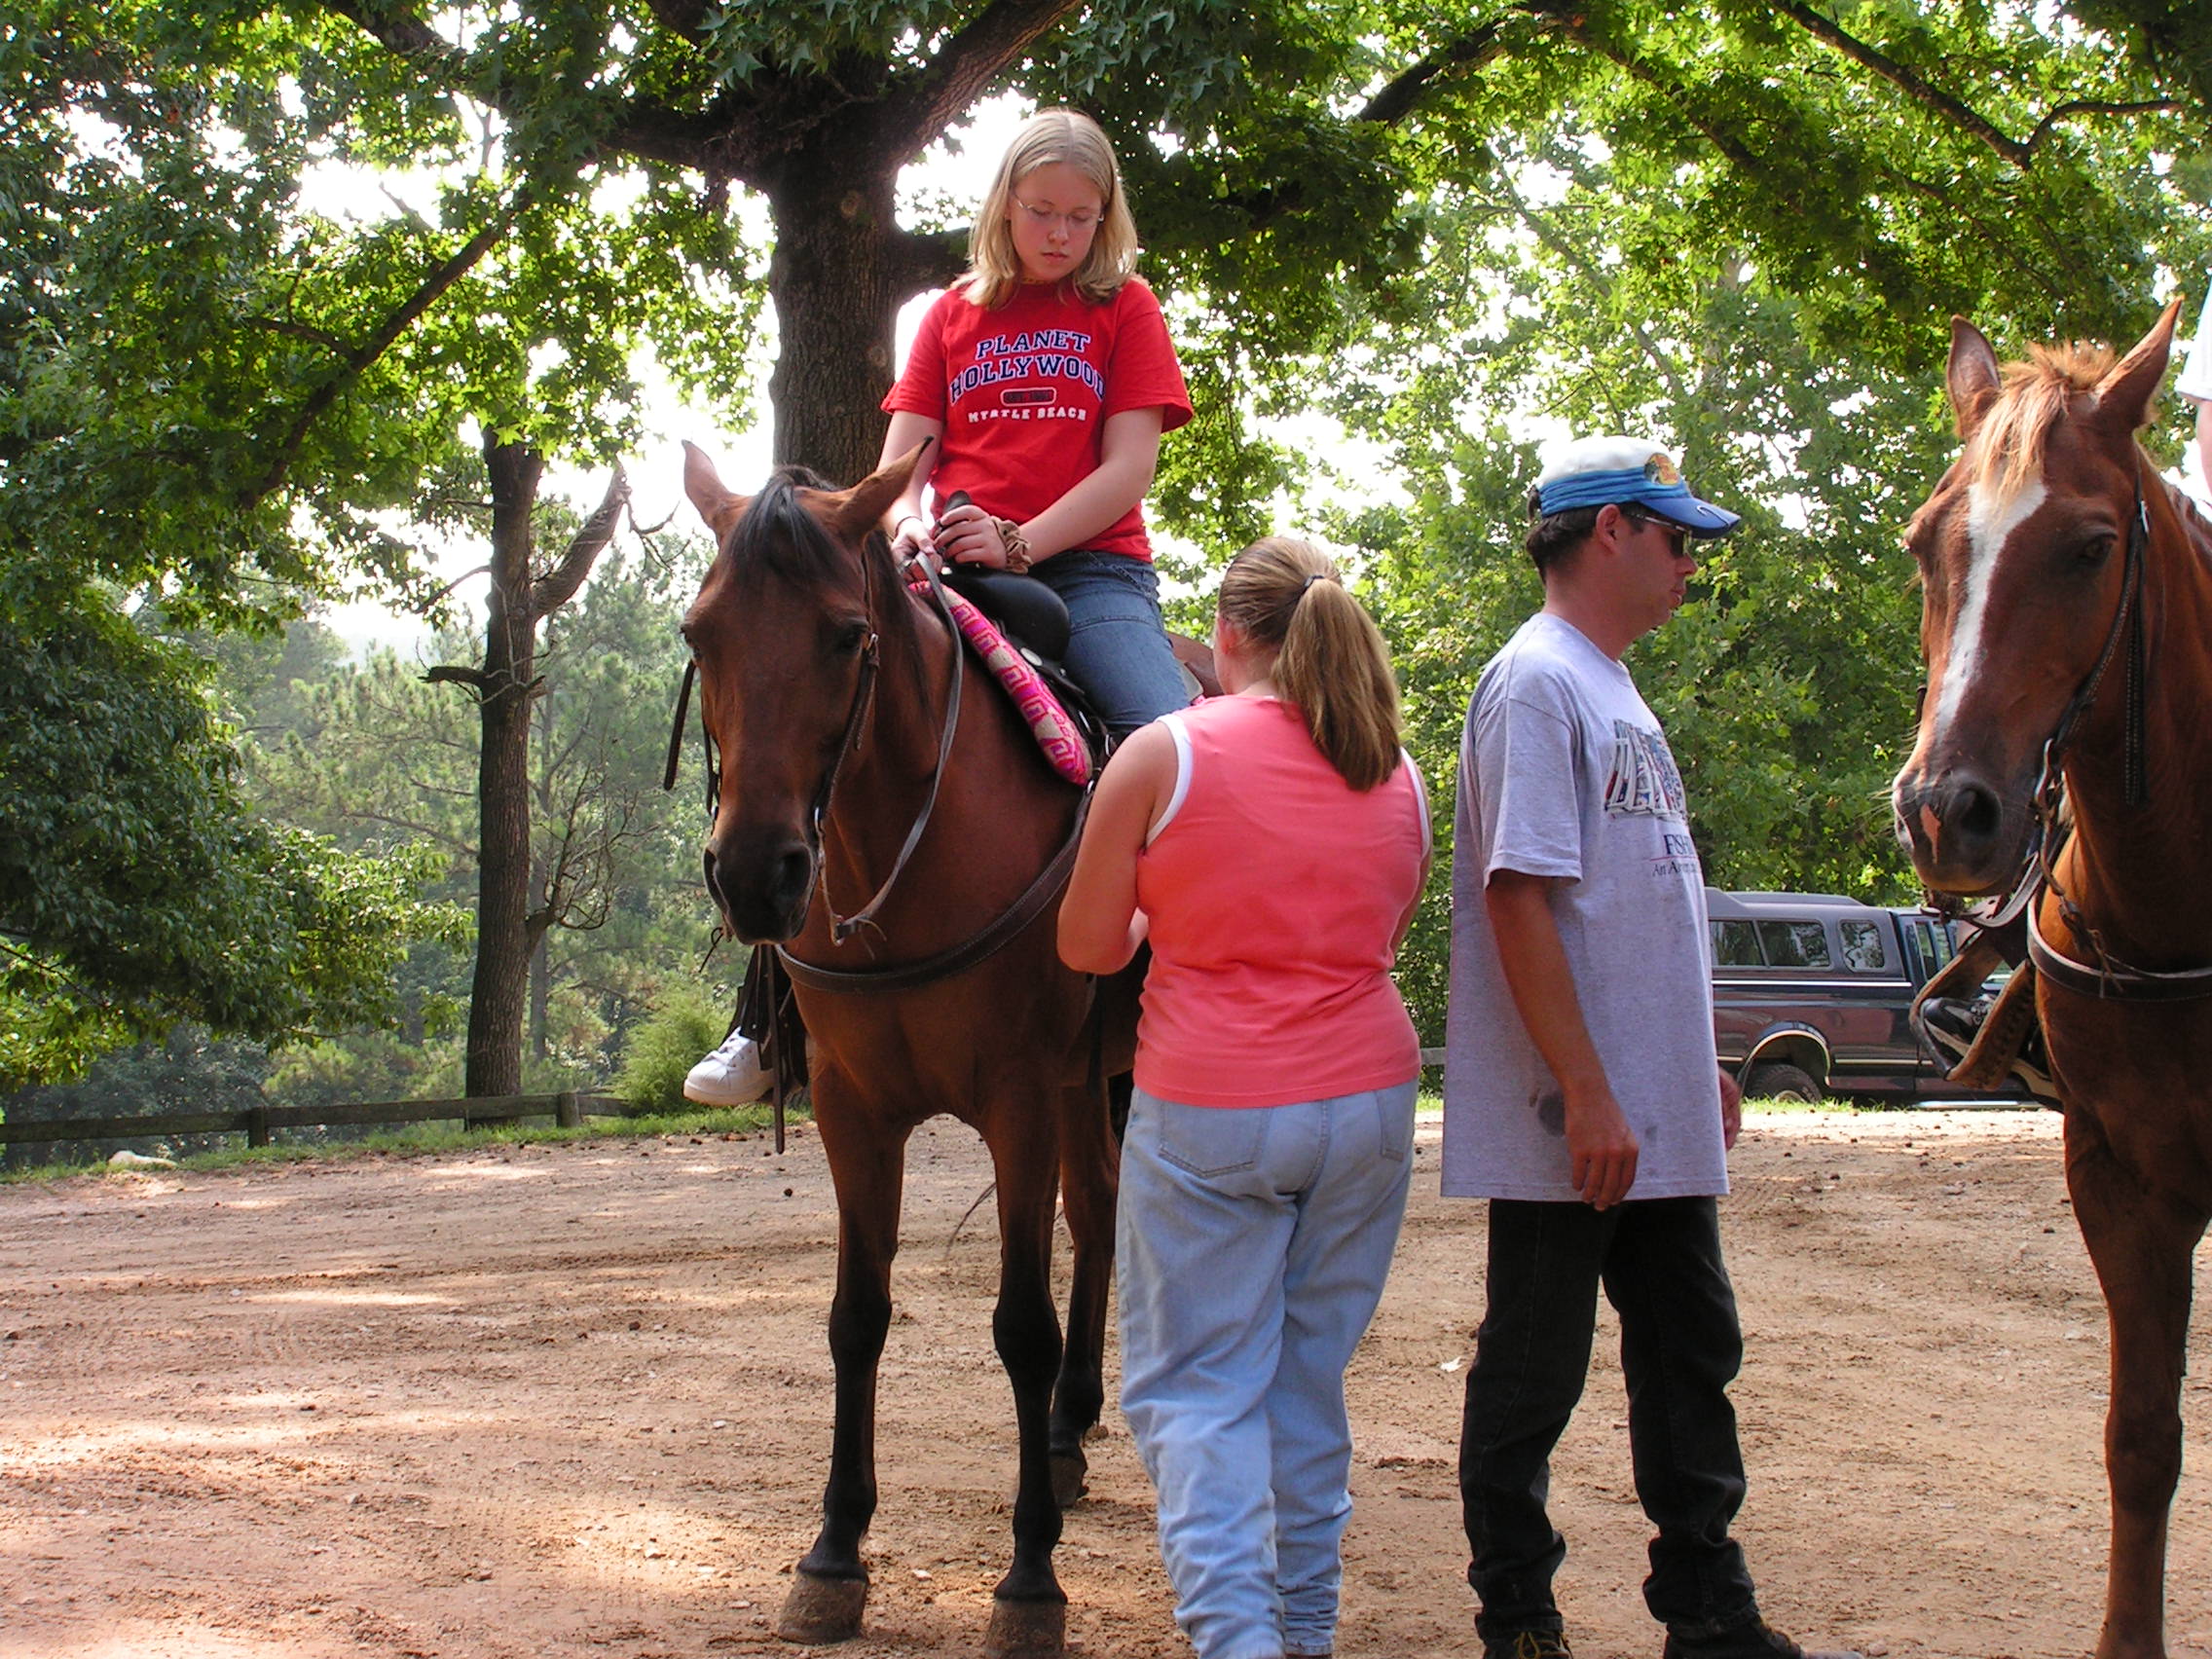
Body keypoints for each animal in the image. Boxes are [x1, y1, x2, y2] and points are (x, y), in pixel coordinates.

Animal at [677, 441, 1137, 1657]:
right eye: (700, 633)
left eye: (847, 635)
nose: (757, 874)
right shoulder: (853, 1108)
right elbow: (858, 1318)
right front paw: (833, 1555)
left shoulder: (1018, 1096)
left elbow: (1018, 1323)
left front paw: (1029, 1580)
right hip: (1081, 1080)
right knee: (1098, 1208)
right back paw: (1068, 1435)